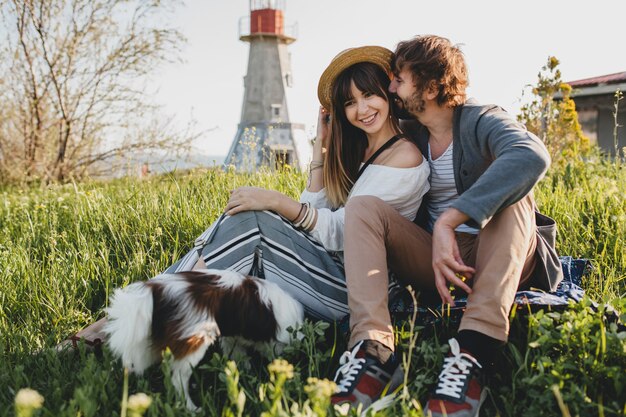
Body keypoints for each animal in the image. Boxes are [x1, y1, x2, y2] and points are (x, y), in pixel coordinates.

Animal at [103, 268, 304, 408]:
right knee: (178, 379)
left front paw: (245, 369)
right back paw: (191, 408)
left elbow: (238, 353)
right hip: (195, 340)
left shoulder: (233, 337)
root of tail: (155, 289)